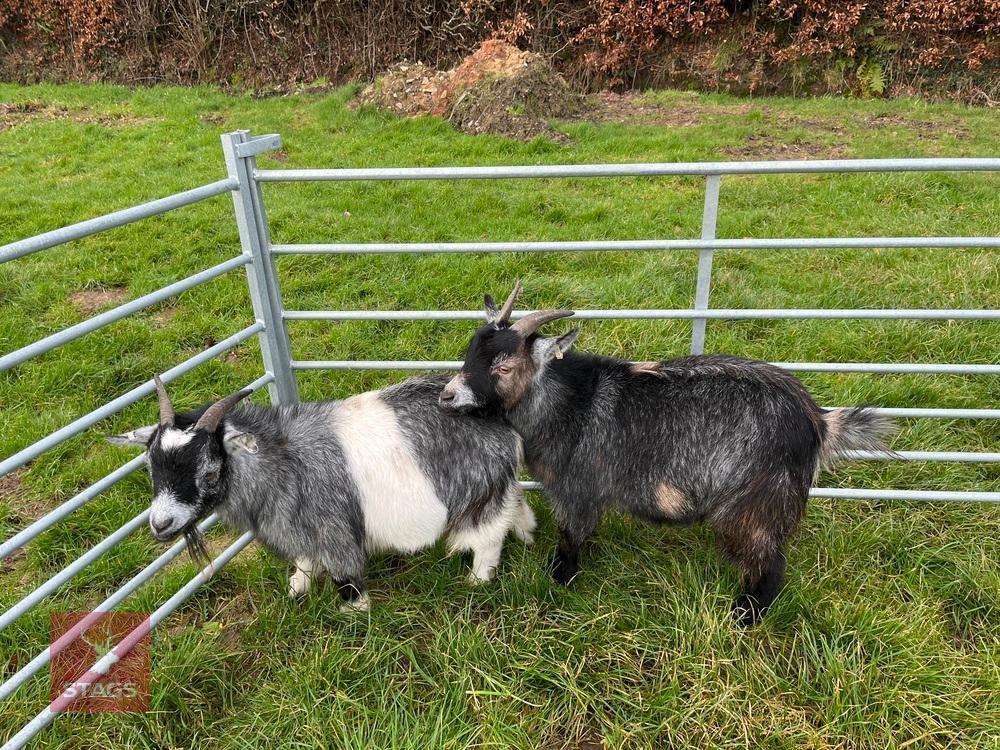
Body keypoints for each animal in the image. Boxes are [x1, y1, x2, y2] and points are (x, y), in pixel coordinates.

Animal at [109, 374, 535, 611]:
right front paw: (297, 589)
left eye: (209, 470)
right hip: (498, 483)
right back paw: (527, 533)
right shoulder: (300, 526)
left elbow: (346, 580)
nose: (160, 524)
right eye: (151, 467)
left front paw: (356, 617)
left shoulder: (334, 529)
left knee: (488, 535)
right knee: (515, 503)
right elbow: (304, 561)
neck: (282, 459)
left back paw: (479, 580)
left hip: (478, 489)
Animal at [439, 282, 894, 625]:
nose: (447, 396)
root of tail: (818, 423)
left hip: (757, 501)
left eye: (504, 366)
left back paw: (744, 616)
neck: (568, 403)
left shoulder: (575, 489)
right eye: (471, 351)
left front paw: (560, 580)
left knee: (770, 562)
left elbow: (571, 537)